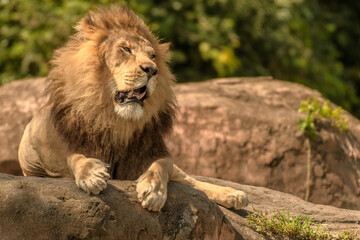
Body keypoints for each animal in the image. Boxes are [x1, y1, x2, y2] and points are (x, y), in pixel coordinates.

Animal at [16, 5, 248, 212]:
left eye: (153, 56)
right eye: (126, 49)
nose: (152, 70)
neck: (117, 121)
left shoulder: (152, 150)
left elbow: (161, 166)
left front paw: (153, 191)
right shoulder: (60, 150)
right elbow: (74, 156)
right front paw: (91, 174)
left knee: (189, 179)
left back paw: (234, 195)